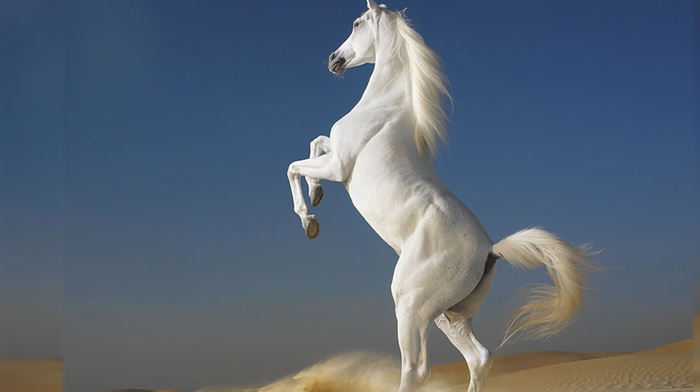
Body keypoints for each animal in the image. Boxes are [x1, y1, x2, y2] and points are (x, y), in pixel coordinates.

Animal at [284, 1, 596, 390]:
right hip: (447, 314)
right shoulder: (334, 153)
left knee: (417, 368)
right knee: (479, 358)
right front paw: (317, 195)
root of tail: (491, 251)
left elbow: (294, 166)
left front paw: (309, 220)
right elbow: (315, 143)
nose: (333, 59)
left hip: (411, 306)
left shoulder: (340, 165)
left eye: (356, 23)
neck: (383, 108)